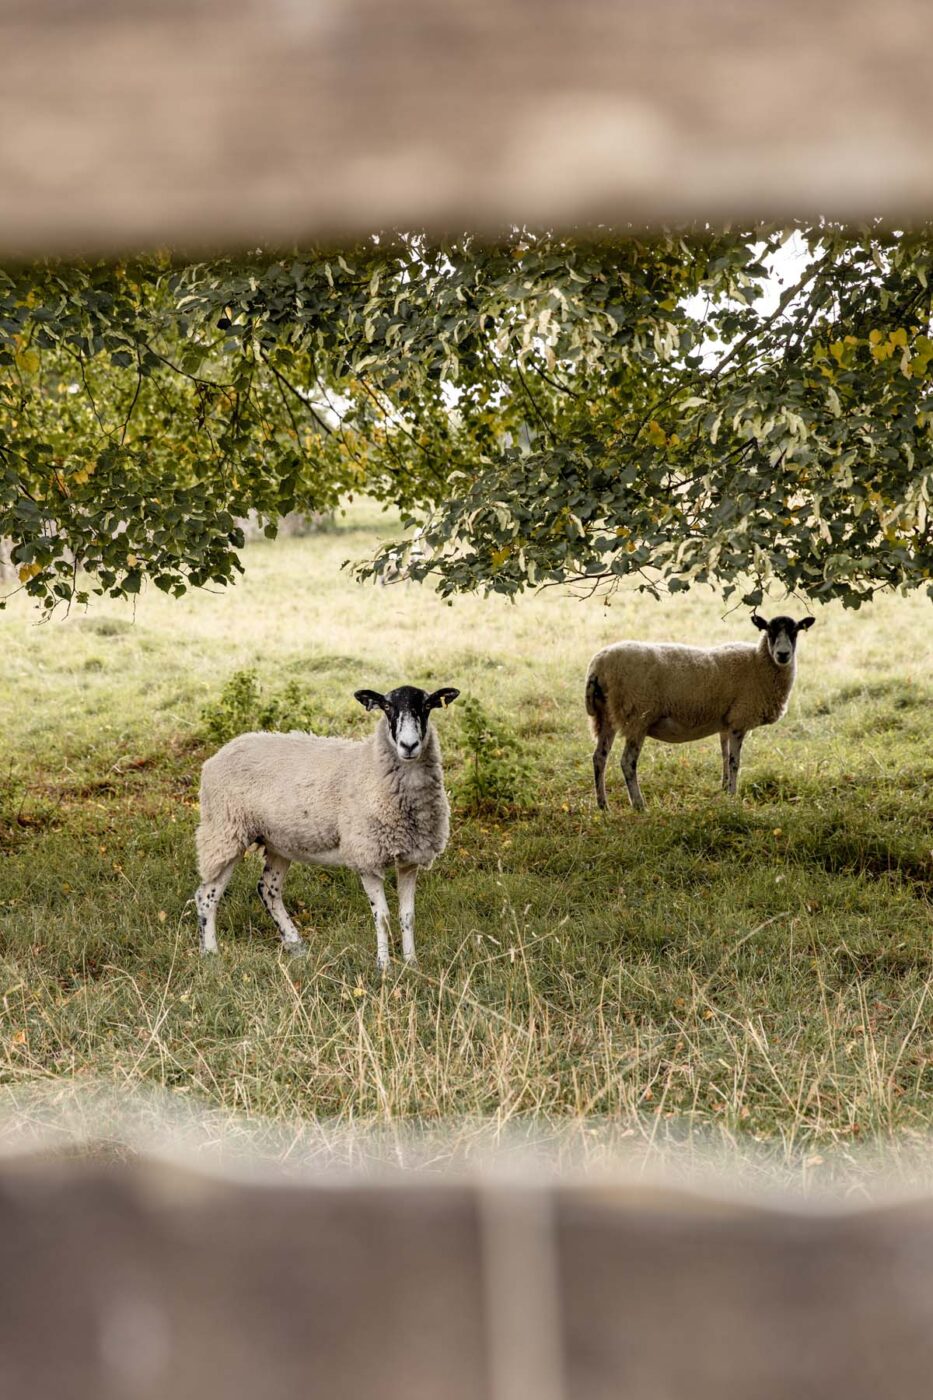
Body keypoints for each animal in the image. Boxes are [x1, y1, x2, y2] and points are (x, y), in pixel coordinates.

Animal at [194, 683, 456, 968]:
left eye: (427, 706)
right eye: (387, 707)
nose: (409, 745)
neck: (371, 766)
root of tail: (218, 754)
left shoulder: (409, 860)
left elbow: (407, 916)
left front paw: (411, 964)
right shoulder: (366, 857)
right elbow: (383, 917)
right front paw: (384, 966)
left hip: (278, 841)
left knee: (268, 889)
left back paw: (295, 945)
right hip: (224, 831)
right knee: (207, 895)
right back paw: (210, 952)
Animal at [585, 613, 812, 812]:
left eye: (795, 632)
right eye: (770, 631)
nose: (783, 655)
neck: (758, 663)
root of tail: (598, 666)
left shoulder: (726, 722)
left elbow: (724, 757)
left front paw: (724, 790)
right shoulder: (739, 720)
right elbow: (735, 762)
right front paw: (733, 797)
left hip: (606, 716)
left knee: (599, 757)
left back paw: (603, 806)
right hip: (637, 716)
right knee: (627, 762)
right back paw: (639, 805)